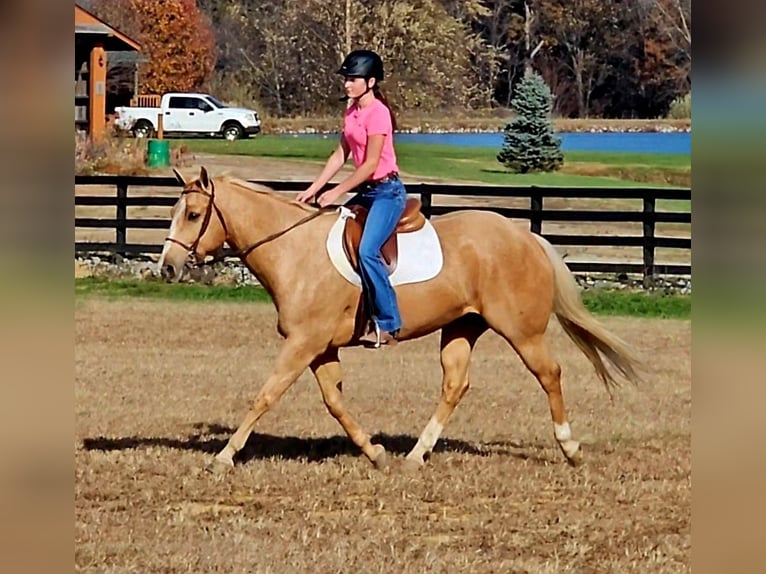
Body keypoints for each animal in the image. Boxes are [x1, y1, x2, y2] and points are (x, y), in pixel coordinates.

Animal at [158, 166, 640, 471]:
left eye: (195, 215)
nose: (167, 268)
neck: (295, 249)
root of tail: (526, 236)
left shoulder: (303, 343)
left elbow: (265, 395)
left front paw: (224, 457)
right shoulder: (320, 348)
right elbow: (334, 402)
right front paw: (375, 453)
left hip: (523, 331)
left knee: (549, 374)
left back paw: (571, 449)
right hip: (462, 327)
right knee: (455, 385)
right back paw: (415, 456)